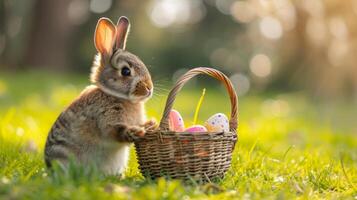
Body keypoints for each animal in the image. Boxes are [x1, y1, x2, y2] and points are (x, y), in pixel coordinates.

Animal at [43, 16, 155, 174]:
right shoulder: (106, 120)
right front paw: (135, 132)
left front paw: (151, 124)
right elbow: (116, 131)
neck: (114, 95)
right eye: (126, 71)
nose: (149, 88)